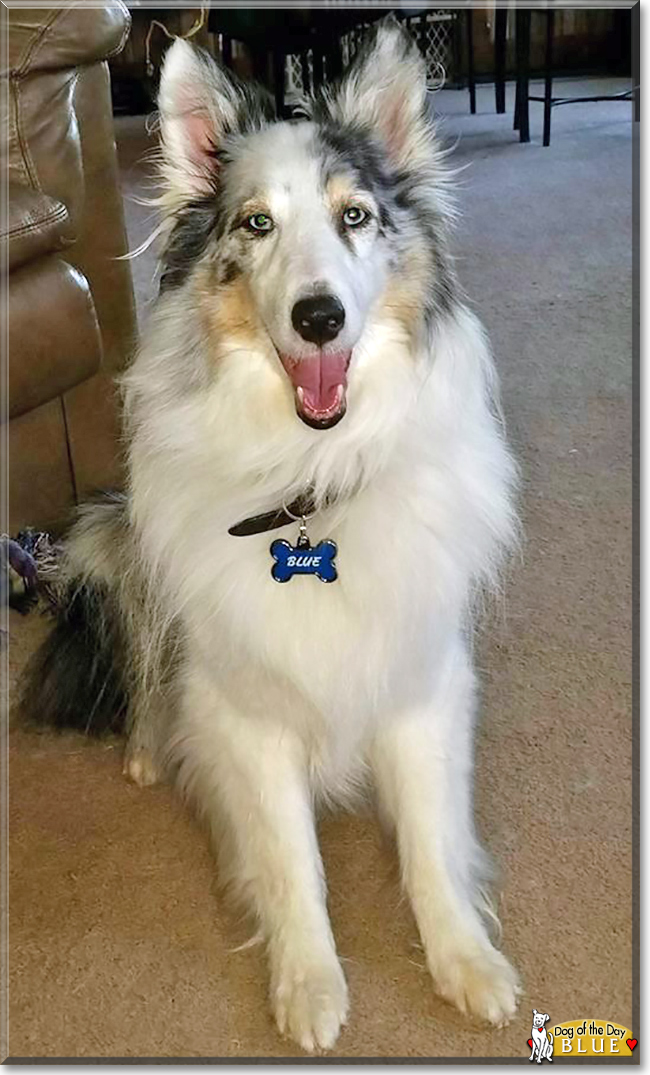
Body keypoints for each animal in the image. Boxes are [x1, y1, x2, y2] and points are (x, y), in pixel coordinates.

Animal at [22, 20, 520, 1053]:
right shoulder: (247, 714)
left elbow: (430, 845)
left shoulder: (421, 682)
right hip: (115, 537)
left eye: (355, 217)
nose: (318, 316)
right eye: (255, 225)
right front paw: (310, 983)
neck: (310, 485)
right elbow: (294, 866)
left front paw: (465, 961)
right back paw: (149, 743)